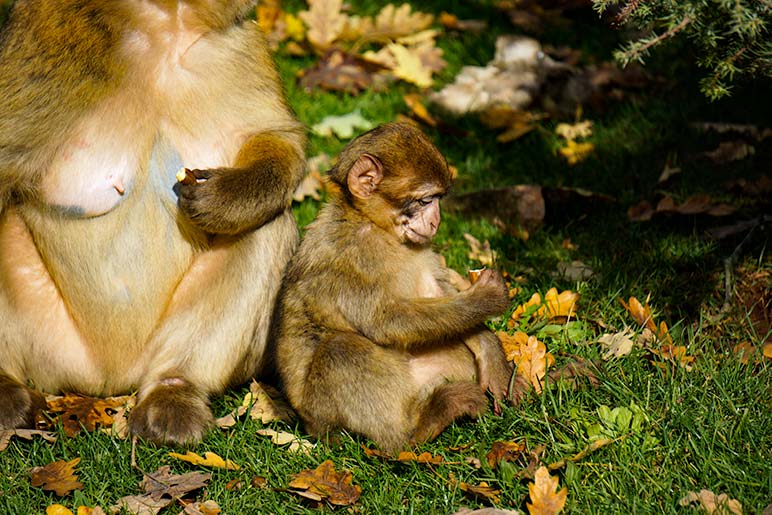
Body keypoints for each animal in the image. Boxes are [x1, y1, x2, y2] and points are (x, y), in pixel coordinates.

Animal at [0, 0, 308, 446]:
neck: (160, 24)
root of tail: (109, 378)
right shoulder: (45, 49)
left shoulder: (233, 48)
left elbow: (279, 140)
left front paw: (229, 195)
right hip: (48, 348)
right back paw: (6, 391)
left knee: (265, 226)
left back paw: (173, 389)